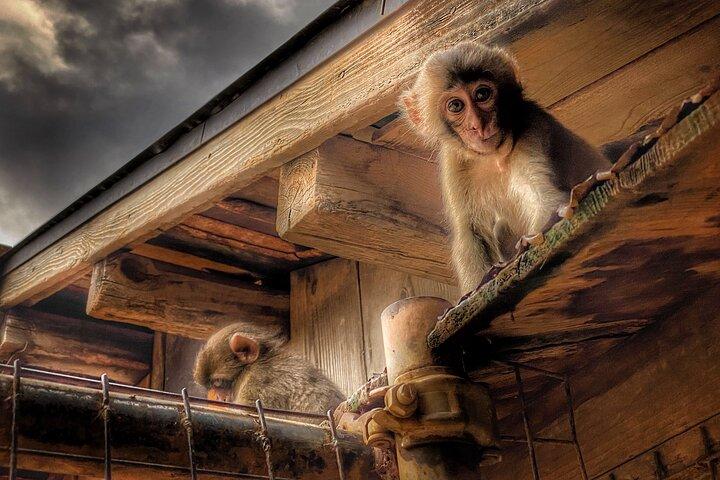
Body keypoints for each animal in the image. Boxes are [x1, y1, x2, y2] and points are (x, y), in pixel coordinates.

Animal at [399, 42, 610, 293]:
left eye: (482, 94)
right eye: (456, 105)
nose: (477, 125)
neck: (493, 156)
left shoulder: (531, 126)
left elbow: (544, 199)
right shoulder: (453, 160)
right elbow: (471, 233)